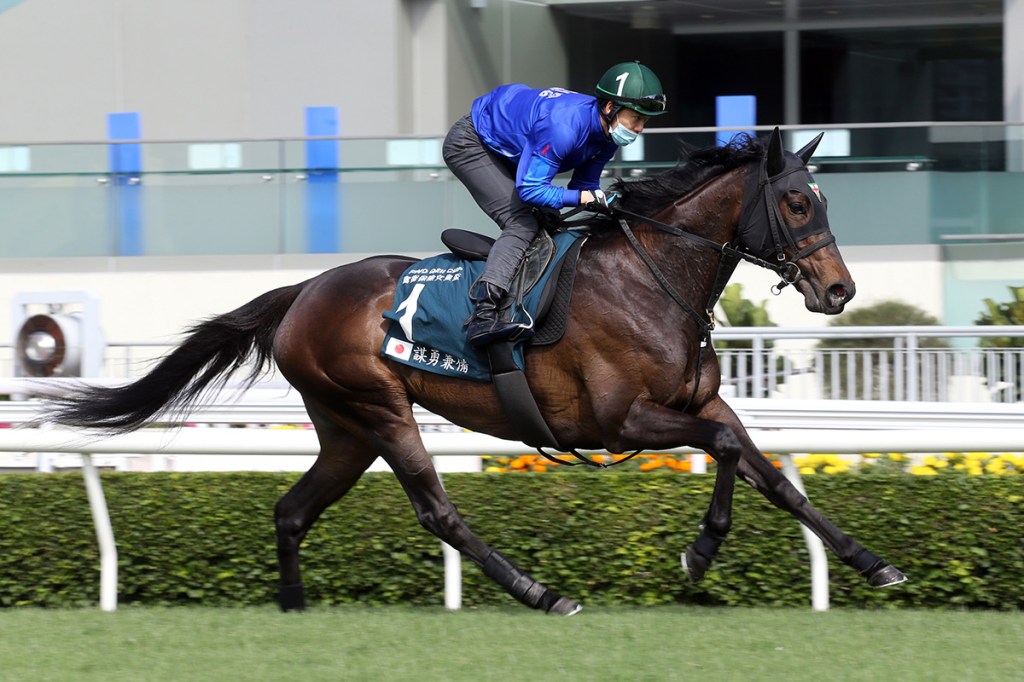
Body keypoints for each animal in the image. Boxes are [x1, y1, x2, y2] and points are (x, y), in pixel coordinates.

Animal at [43, 128, 906, 615]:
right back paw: (541, 594)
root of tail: (303, 291)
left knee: (292, 510)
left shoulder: (704, 405)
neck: (651, 275)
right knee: (437, 511)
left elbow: (773, 475)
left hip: (344, 428)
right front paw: (700, 551)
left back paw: (292, 603)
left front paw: (872, 563)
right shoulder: (620, 419)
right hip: (381, 410)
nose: (840, 291)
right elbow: (728, 455)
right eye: (797, 204)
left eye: (822, 200)